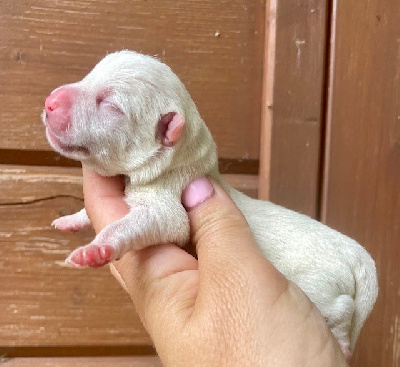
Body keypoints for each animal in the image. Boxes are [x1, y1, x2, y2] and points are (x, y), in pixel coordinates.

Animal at [41, 50, 378, 360]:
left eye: (111, 105)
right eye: (89, 75)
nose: (50, 101)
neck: (186, 158)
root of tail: (357, 255)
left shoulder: (168, 197)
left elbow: (165, 222)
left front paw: (96, 248)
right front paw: (71, 220)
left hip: (320, 285)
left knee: (341, 307)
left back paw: (342, 340)